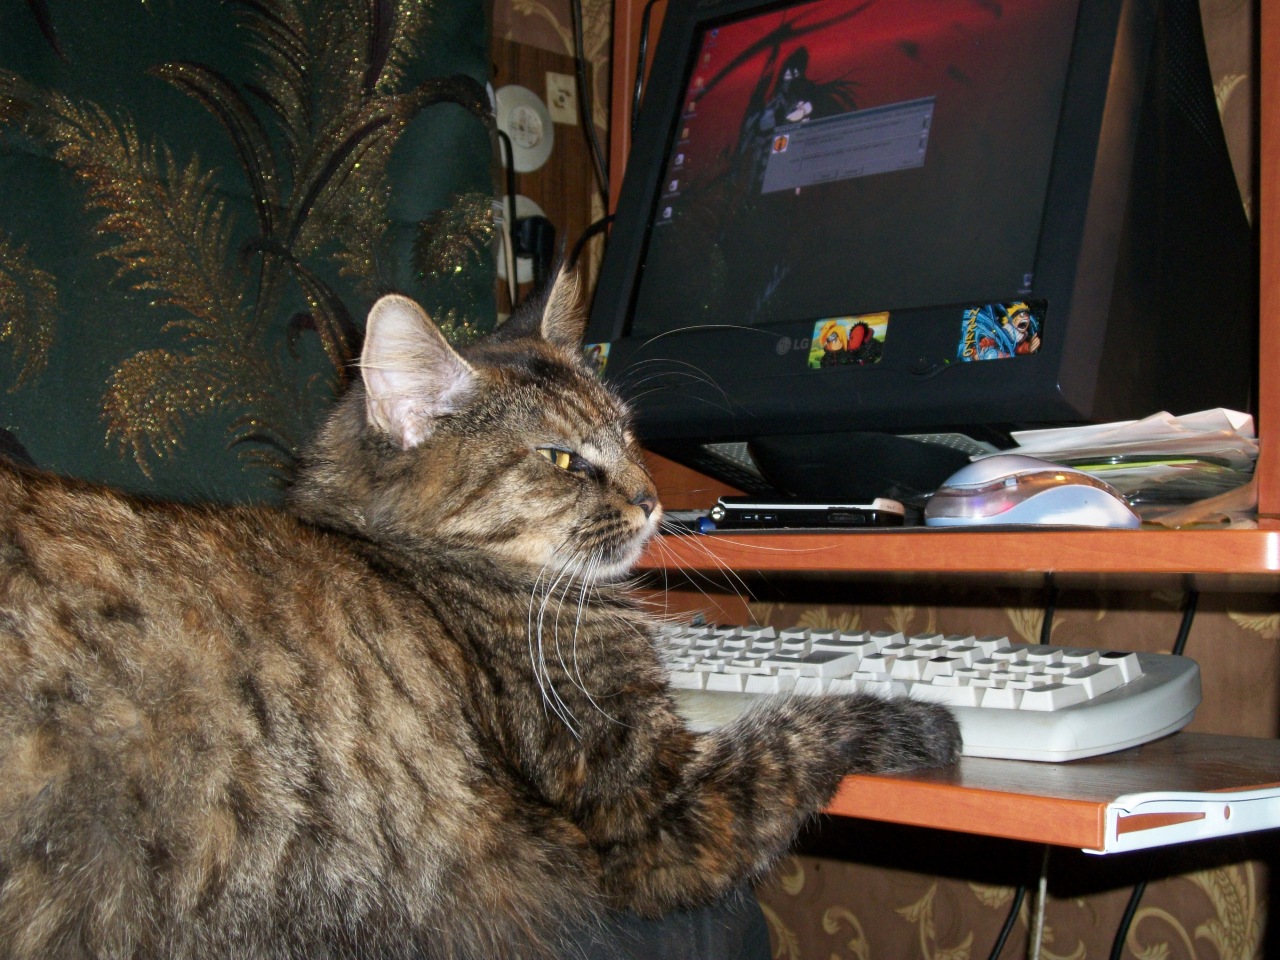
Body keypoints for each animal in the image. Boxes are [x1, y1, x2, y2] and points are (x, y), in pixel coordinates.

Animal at [0, 269, 961, 960]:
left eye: (627, 434)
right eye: (565, 459)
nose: (656, 501)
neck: (438, 569)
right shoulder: (657, 809)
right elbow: (806, 726)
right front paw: (923, 719)